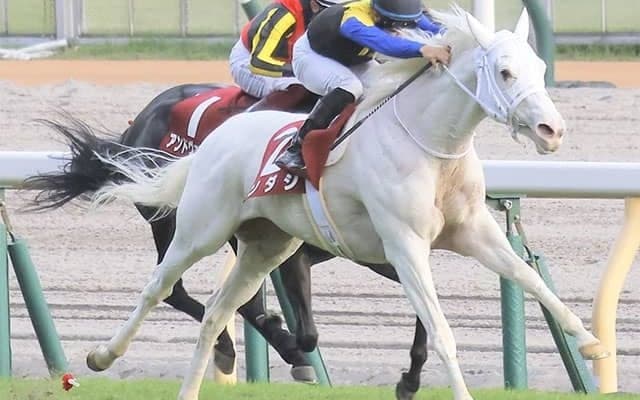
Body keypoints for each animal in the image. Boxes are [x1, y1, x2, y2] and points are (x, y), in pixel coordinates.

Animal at [26, 86, 430, 397]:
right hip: (175, 220)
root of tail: (137, 124)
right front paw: (292, 349)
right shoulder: (293, 250)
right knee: (179, 289)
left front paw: (411, 377)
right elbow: (301, 329)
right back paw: (240, 346)